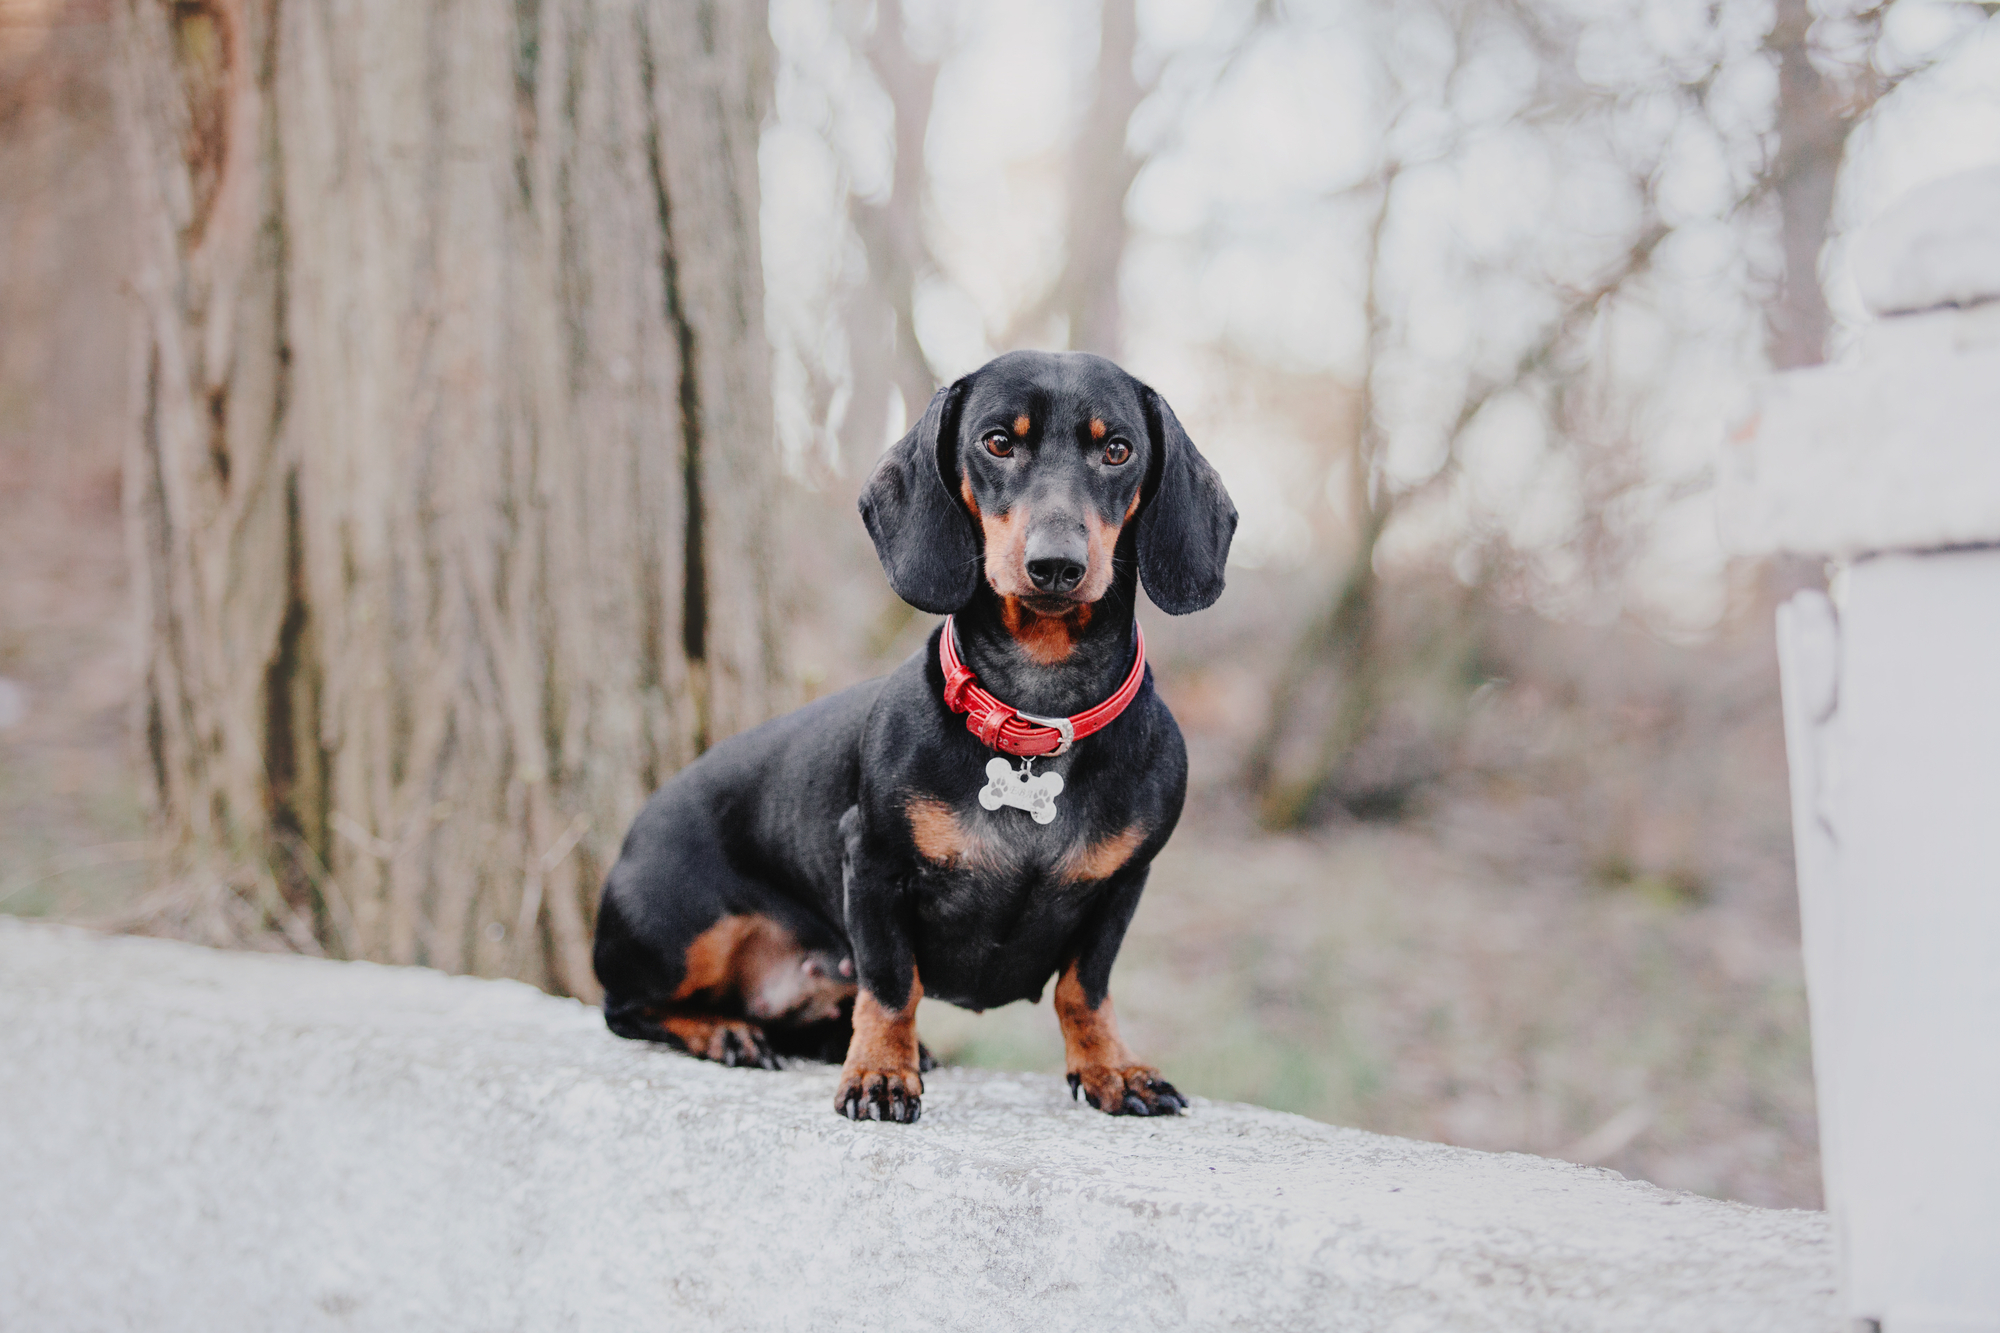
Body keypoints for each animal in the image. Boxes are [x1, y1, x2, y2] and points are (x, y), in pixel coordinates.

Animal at [592, 348, 1224, 1112]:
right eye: (997, 442)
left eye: (1118, 450)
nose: (1056, 565)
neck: (1038, 712)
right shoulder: (871, 862)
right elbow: (893, 984)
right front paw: (881, 1072)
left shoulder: (1123, 885)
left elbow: (1085, 988)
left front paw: (1110, 1068)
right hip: (682, 932)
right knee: (627, 1009)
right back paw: (725, 1032)